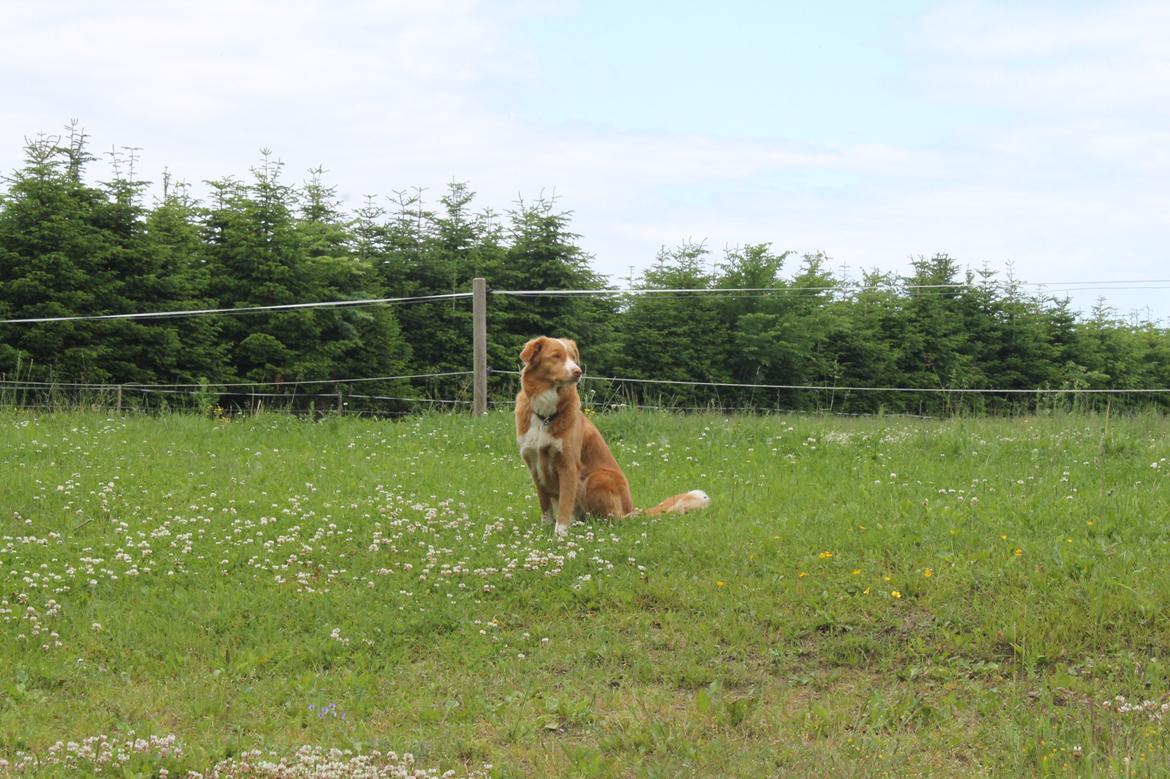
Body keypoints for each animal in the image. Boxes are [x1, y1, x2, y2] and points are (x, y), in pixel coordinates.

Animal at [514, 334, 711, 533]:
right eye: (556, 356)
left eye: (573, 358)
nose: (578, 372)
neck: (545, 415)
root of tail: (631, 510)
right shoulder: (534, 464)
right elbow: (545, 505)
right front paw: (544, 529)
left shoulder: (568, 465)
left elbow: (564, 505)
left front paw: (560, 534)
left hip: (597, 477)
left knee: (613, 519)